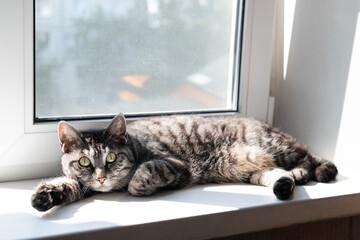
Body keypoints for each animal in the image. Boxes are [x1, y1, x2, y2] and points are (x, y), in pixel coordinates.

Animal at [31, 114, 338, 212]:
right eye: (84, 161)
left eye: (111, 157)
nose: (102, 177)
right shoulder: (82, 183)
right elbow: (68, 184)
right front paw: (46, 195)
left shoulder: (177, 166)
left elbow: (144, 173)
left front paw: (136, 183)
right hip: (258, 169)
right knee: (277, 176)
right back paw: (286, 183)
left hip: (275, 147)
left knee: (310, 156)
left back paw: (306, 171)